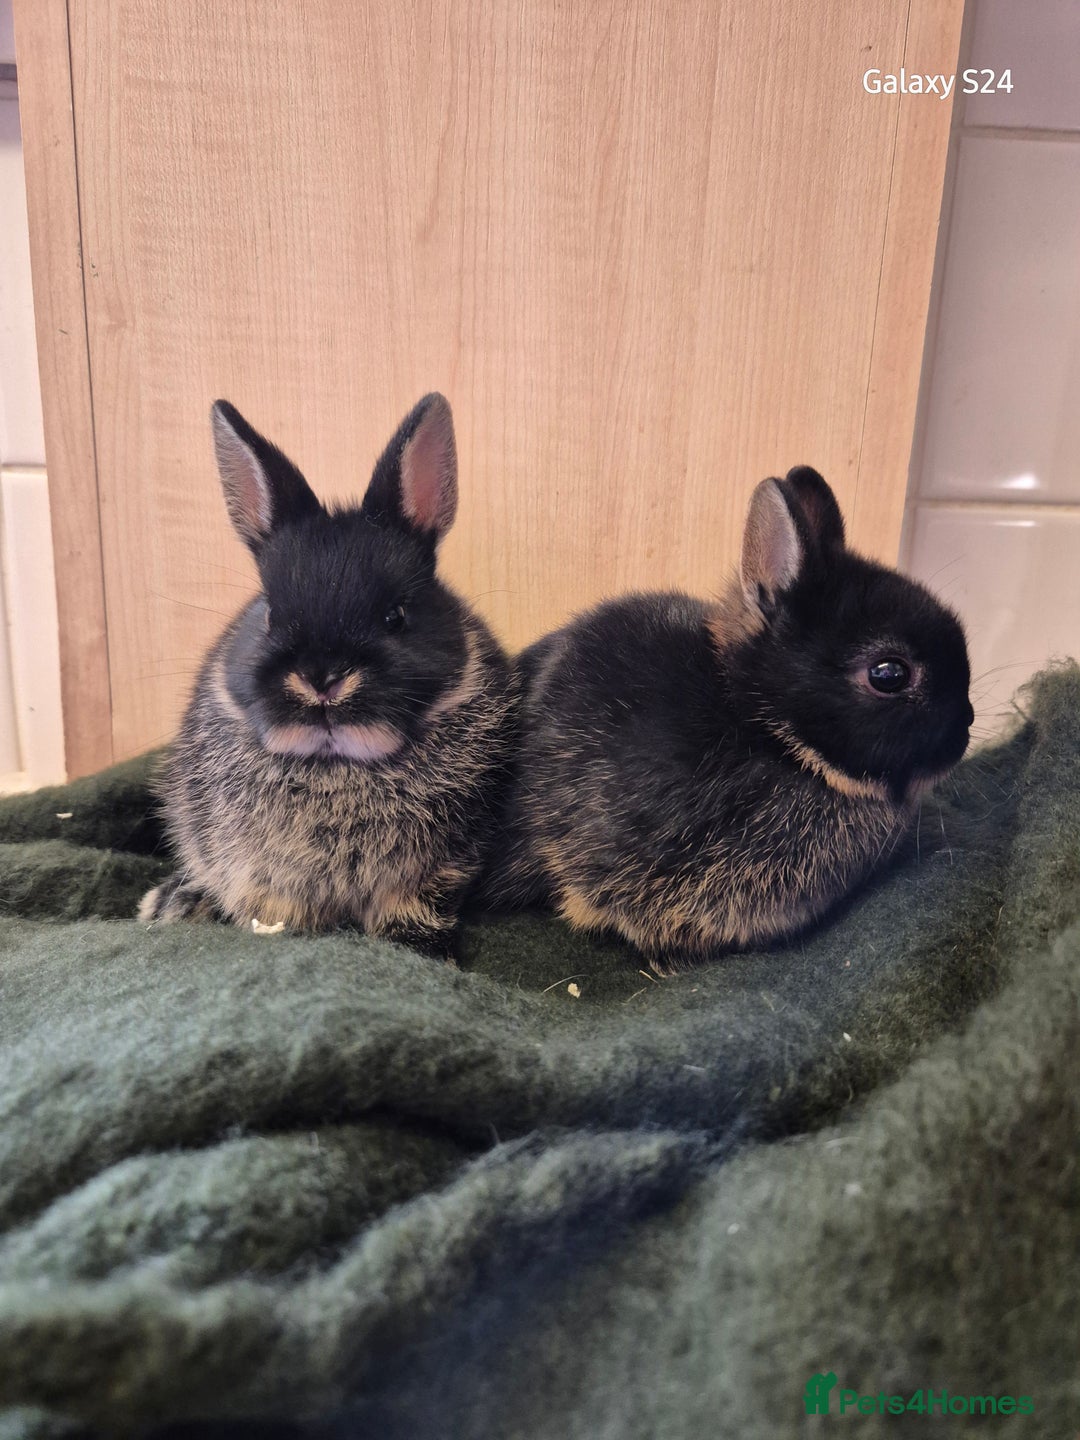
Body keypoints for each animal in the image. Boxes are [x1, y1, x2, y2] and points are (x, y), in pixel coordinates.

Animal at [139, 393, 517, 959]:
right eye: (270, 614)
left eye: (395, 616)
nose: (321, 678)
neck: (336, 767)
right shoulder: (257, 871)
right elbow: (271, 908)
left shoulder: (438, 869)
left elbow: (414, 908)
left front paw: (420, 948)